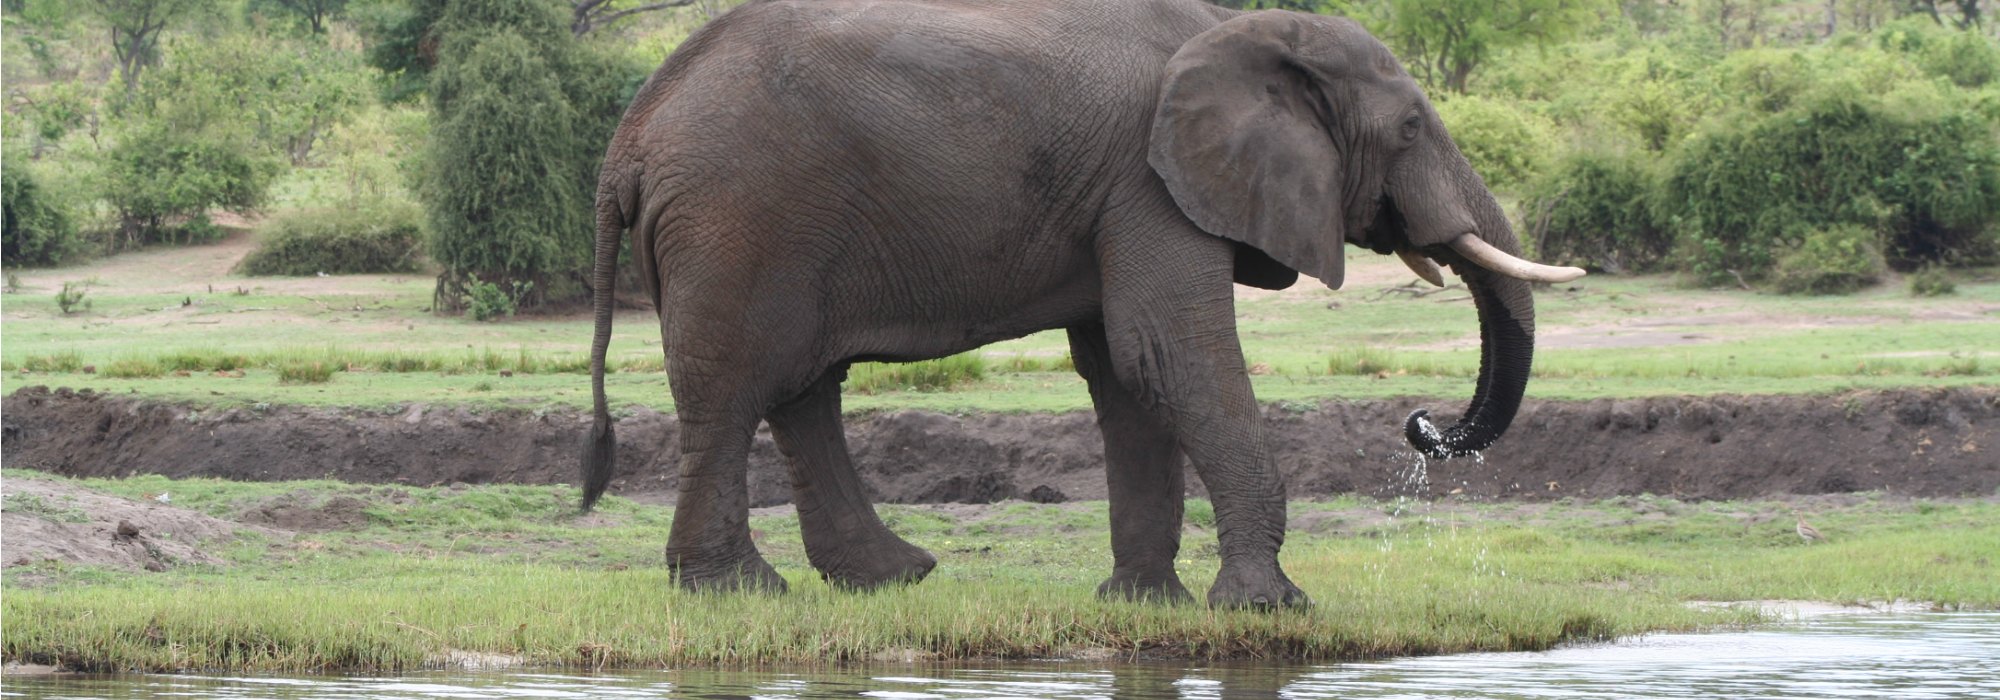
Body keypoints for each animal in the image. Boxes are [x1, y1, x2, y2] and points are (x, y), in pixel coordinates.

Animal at [576, 0, 1576, 608]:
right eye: (1409, 127)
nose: (1421, 422)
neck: (1244, 28)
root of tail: (628, 139)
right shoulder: (1149, 183)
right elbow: (1169, 354)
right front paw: (1268, 609)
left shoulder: (1125, 196)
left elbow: (1129, 374)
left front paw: (1147, 605)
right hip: (737, 220)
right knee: (734, 388)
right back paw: (739, 592)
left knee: (799, 389)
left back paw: (890, 579)